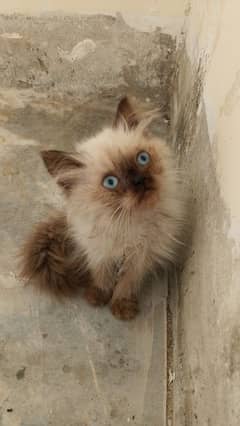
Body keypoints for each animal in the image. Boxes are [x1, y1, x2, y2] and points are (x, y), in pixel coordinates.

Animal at [21, 96, 186, 320]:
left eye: (142, 159)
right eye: (110, 182)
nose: (139, 181)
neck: (126, 222)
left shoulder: (141, 255)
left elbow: (127, 282)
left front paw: (122, 306)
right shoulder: (99, 250)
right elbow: (102, 275)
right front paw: (98, 296)